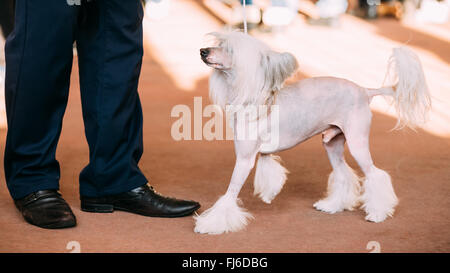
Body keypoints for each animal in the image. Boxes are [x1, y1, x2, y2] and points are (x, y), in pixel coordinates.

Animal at [194, 30, 432, 233]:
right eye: (218, 44)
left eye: (229, 49)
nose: (203, 51)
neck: (254, 100)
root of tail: (365, 91)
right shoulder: (264, 154)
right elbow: (269, 174)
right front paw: (269, 195)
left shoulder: (244, 160)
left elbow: (230, 193)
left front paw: (211, 224)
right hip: (332, 144)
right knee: (343, 174)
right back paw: (333, 205)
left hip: (358, 143)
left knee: (375, 175)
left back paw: (378, 213)